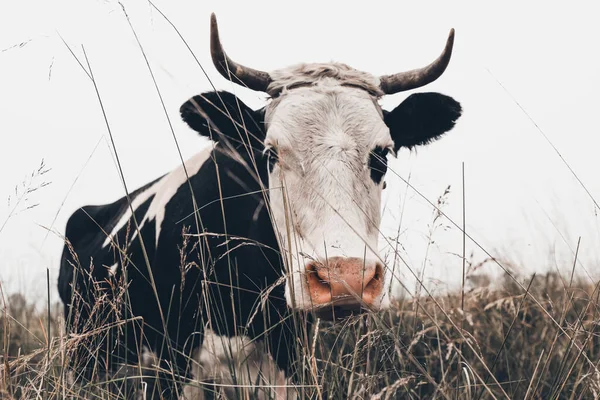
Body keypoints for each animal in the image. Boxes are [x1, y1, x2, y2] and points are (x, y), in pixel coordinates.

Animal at [58, 13, 462, 400]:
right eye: (271, 153)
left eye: (382, 154)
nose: (344, 279)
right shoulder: (177, 363)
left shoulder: (287, 356)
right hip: (82, 352)